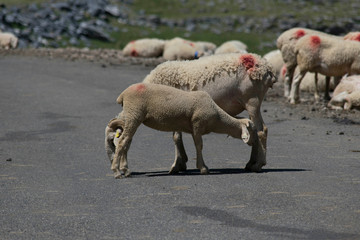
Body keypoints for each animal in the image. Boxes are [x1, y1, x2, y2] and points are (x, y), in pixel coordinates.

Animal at [142, 53, 278, 172]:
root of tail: (267, 67)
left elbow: (176, 137)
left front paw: (177, 165)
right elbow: (176, 137)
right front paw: (181, 162)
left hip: (252, 100)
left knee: (261, 131)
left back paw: (258, 165)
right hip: (251, 102)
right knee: (254, 129)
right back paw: (251, 163)